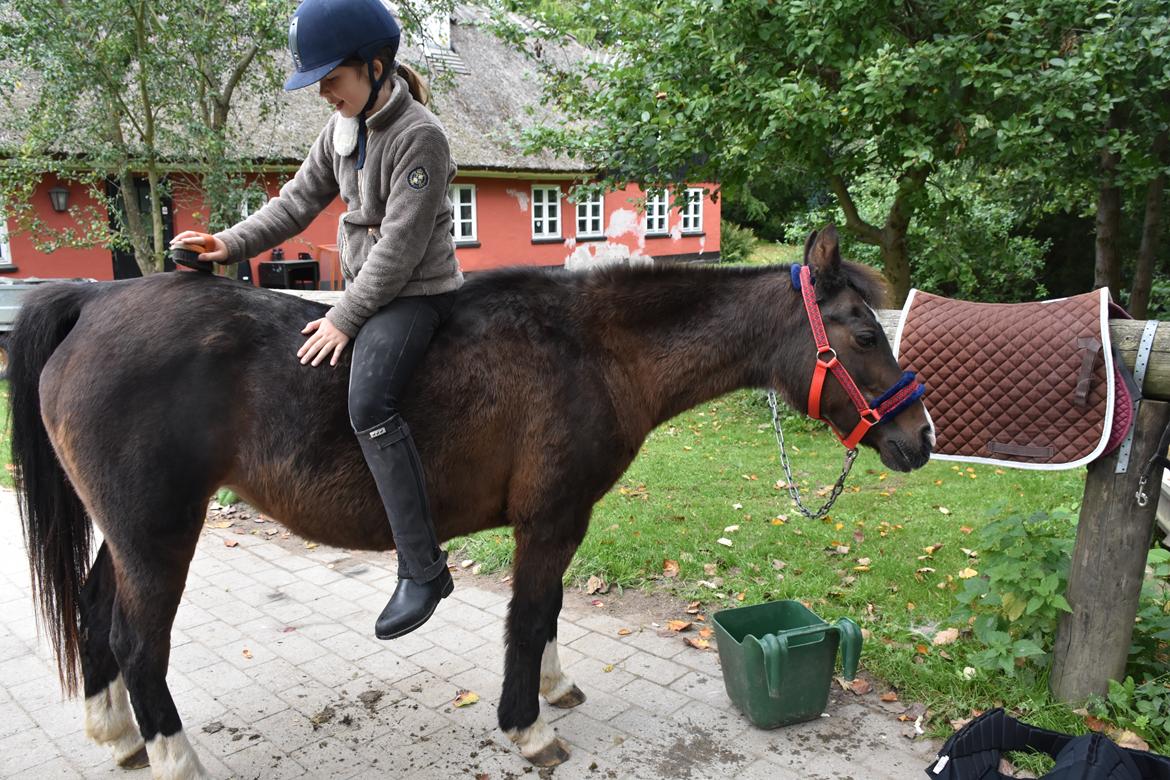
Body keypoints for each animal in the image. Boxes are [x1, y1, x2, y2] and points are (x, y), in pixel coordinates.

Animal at [4, 224, 926, 776]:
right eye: (863, 331)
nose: (919, 438)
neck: (593, 351)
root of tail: (95, 302)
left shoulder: (558, 520)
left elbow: (548, 612)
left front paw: (553, 685)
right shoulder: (550, 519)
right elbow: (529, 614)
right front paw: (527, 723)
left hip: (131, 532)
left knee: (93, 610)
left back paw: (115, 732)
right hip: (159, 533)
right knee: (136, 641)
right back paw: (171, 752)